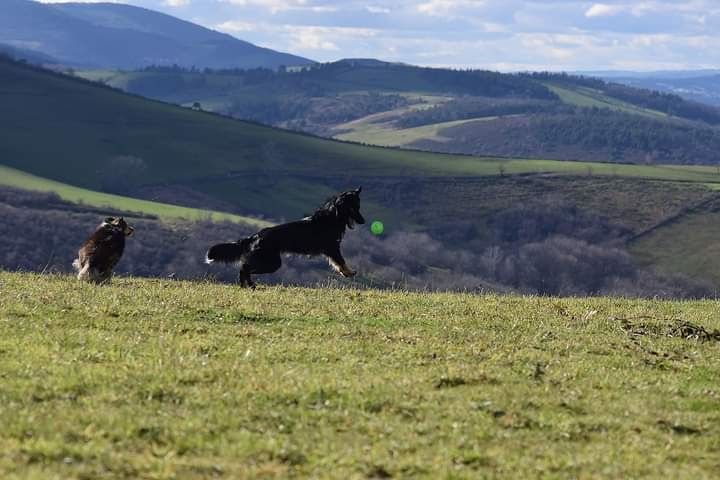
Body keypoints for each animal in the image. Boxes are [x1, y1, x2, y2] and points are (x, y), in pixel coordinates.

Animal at [207, 187, 366, 284]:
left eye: (358, 207)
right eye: (354, 208)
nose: (364, 221)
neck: (333, 215)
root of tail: (255, 236)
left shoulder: (331, 250)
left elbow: (338, 263)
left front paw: (346, 273)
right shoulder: (332, 248)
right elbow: (341, 261)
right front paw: (349, 272)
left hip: (270, 262)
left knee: (244, 268)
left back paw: (246, 286)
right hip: (272, 263)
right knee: (244, 268)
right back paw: (250, 286)